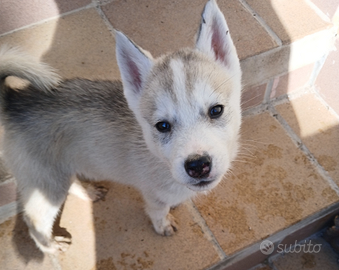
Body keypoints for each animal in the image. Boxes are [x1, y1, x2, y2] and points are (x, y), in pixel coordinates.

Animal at [0, 0, 243, 253]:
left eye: (216, 110)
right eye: (162, 125)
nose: (198, 166)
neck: (161, 162)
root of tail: (14, 100)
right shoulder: (153, 195)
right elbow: (158, 212)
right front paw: (163, 225)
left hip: (59, 172)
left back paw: (88, 191)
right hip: (47, 182)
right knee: (34, 219)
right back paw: (50, 246)